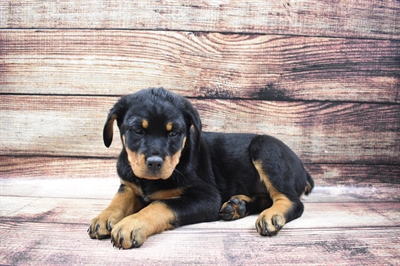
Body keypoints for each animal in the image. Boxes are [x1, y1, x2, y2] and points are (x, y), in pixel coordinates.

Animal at [88, 88, 316, 248]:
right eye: (137, 130)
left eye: (174, 133)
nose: (154, 163)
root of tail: (304, 170)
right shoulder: (129, 184)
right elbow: (119, 199)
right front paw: (104, 218)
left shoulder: (206, 197)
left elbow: (161, 205)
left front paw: (131, 224)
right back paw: (238, 206)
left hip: (265, 147)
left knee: (292, 202)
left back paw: (269, 215)